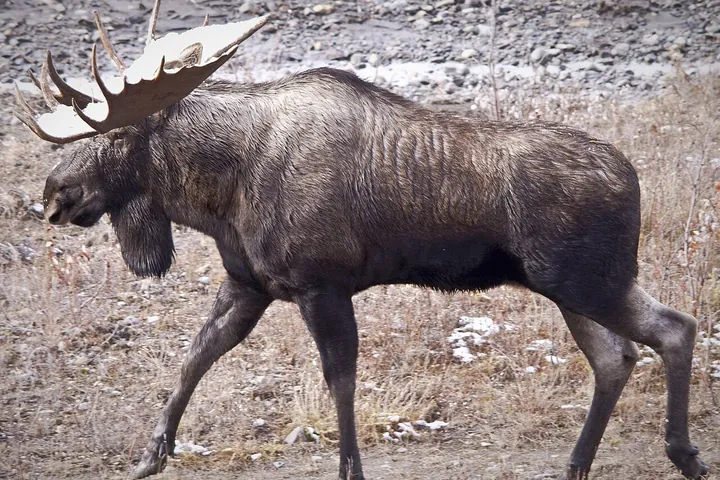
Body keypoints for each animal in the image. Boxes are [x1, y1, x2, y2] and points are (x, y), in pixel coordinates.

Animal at [13, 2, 709, 479]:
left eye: (113, 135)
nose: (54, 195)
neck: (217, 195)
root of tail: (633, 178)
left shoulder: (321, 283)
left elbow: (339, 382)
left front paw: (351, 468)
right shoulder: (248, 284)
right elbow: (193, 358)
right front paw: (150, 456)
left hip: (589, 278)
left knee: (676, 328)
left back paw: (683, 453)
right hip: (567, 286)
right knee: (616, 357)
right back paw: (576, 464)